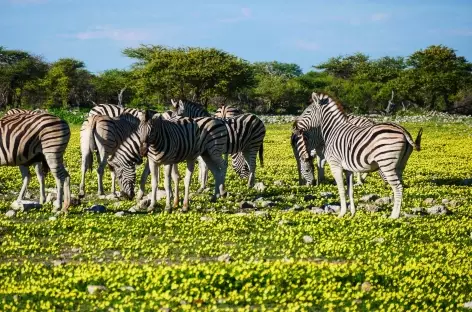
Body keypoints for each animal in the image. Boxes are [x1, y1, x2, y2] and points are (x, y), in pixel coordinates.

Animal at [294, 92, 422, 219]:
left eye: (307, 112)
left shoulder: (335, 165)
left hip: (386, 163)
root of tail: (402, 130)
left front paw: (341, 214)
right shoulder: (348, 169)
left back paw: (394, 216)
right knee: (401, 186)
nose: (294, 125)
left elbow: (341, 189)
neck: (332, 131)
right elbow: (350, 191)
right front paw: (352, 213)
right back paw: (397, 214)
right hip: (400, 165)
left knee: (398, 187)